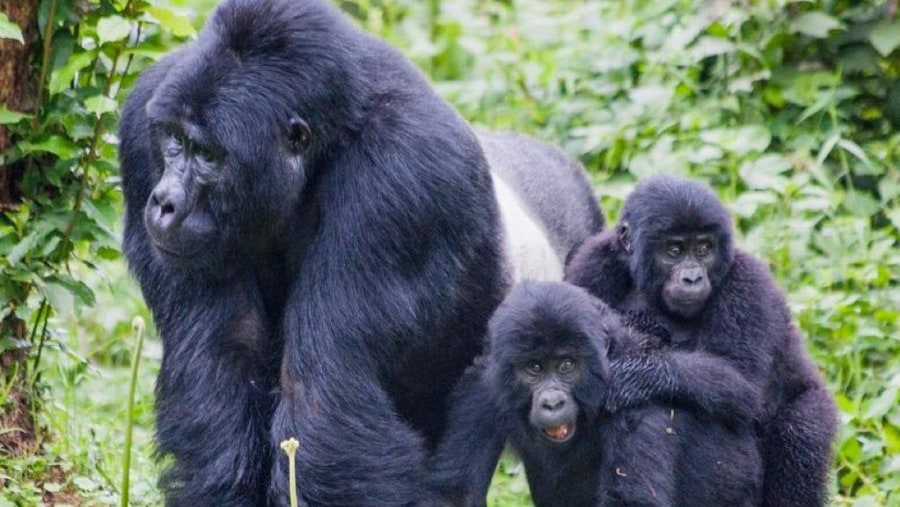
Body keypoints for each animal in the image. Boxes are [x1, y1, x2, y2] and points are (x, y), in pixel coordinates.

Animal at [116, 1, 600, 506]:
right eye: (174, 142)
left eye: (208, 155)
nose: (164, 202)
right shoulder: (143, 127)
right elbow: (221, 369)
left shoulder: (403, 176)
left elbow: (327, 401)